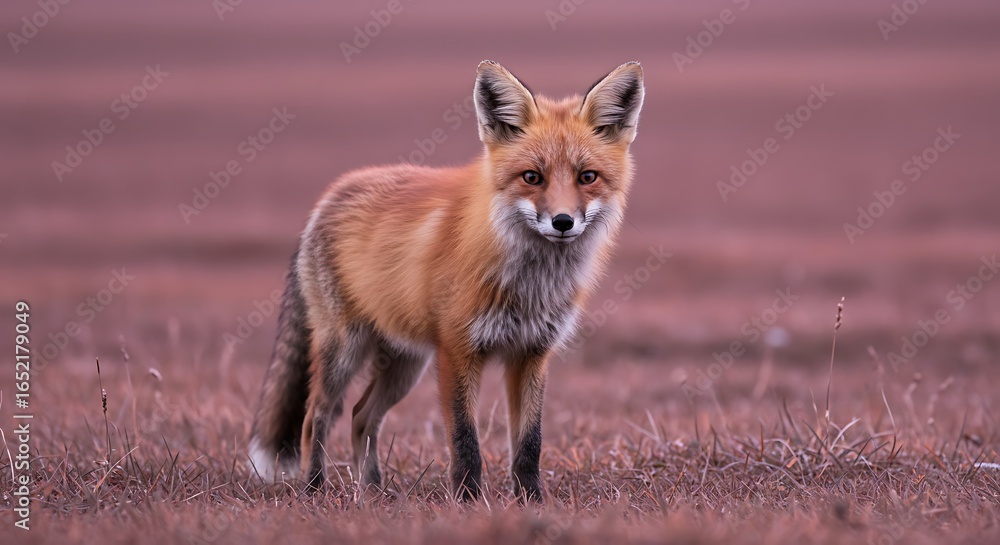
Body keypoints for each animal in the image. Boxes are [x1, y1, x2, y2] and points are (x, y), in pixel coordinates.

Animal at [249, 60, 645, 501]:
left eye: (587, 177)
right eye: (532, 177)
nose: (563, 222)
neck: (530, 285)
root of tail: (330, 195)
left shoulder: (532, 354)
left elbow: (530, 443)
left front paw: (532, 501)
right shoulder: (457, 350)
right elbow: (465, 439)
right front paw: (468, 500)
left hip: (405, 365)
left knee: (360, 415)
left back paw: (373, 494)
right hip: (345, 350)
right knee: (314, 416)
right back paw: (315, 489)